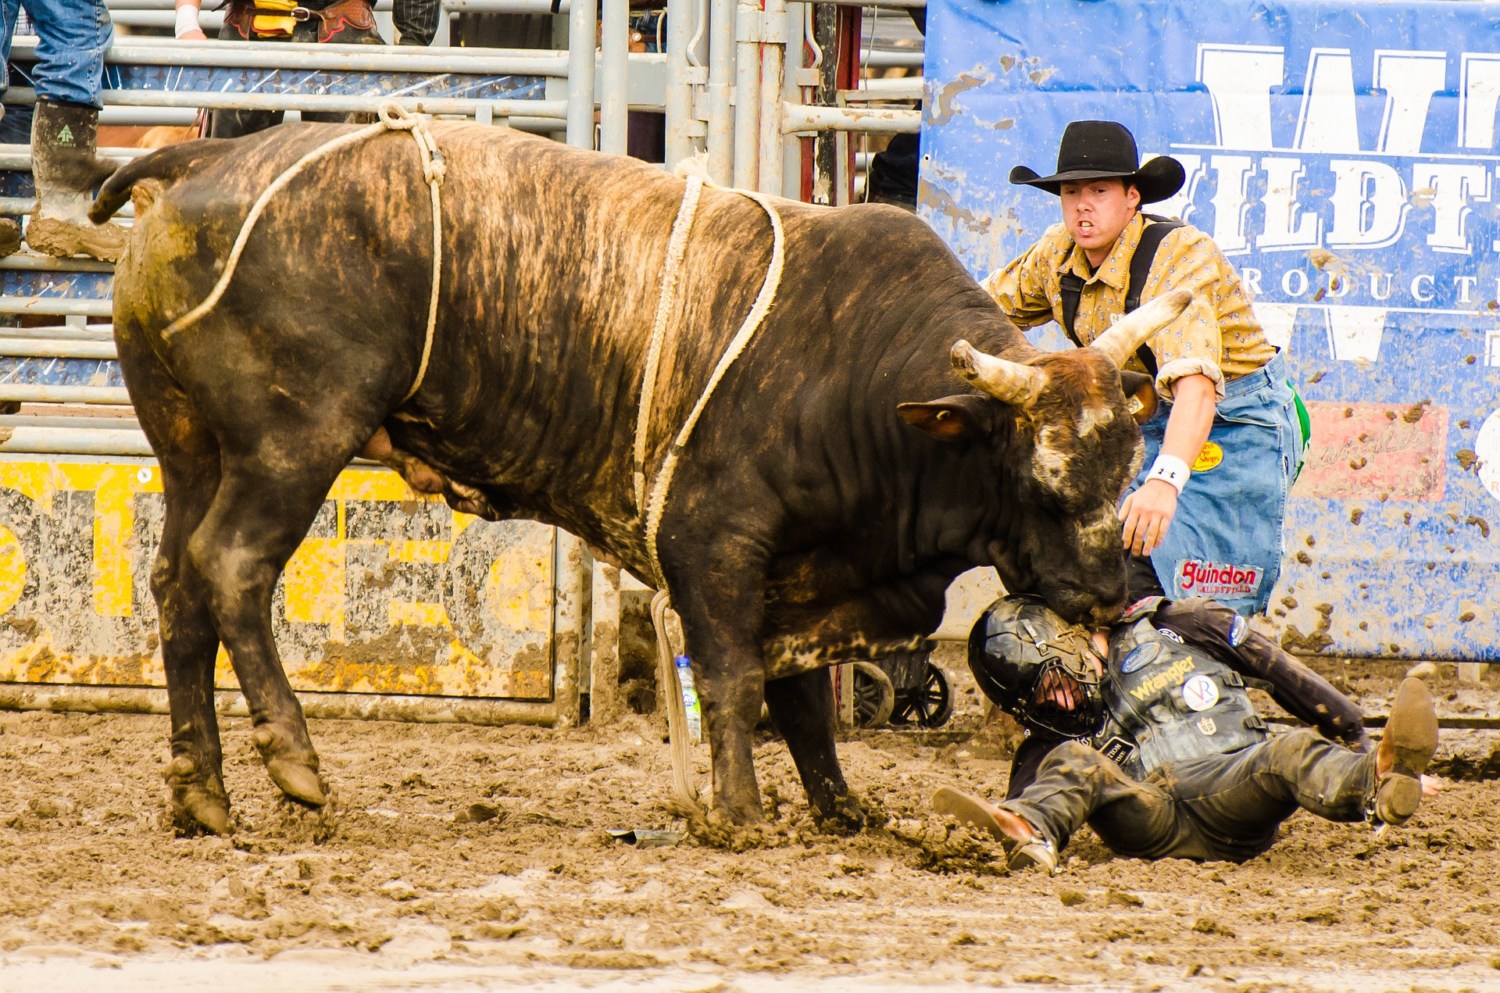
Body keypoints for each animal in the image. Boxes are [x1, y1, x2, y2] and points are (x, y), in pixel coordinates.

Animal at [93, 120, 1182, 834]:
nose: (1111, 595)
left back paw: (203, 793)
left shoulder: (806, 568)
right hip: (295, 443)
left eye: (1125, 471)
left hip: (189, 449)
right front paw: (738, 813)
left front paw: (841, 806)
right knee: (232, 571)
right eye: (1045, 483)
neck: (852, 367)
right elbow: (738, 678)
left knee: (178, 588)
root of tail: (204, 156)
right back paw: (296, 764)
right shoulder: (716, 544)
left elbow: (804, 698)